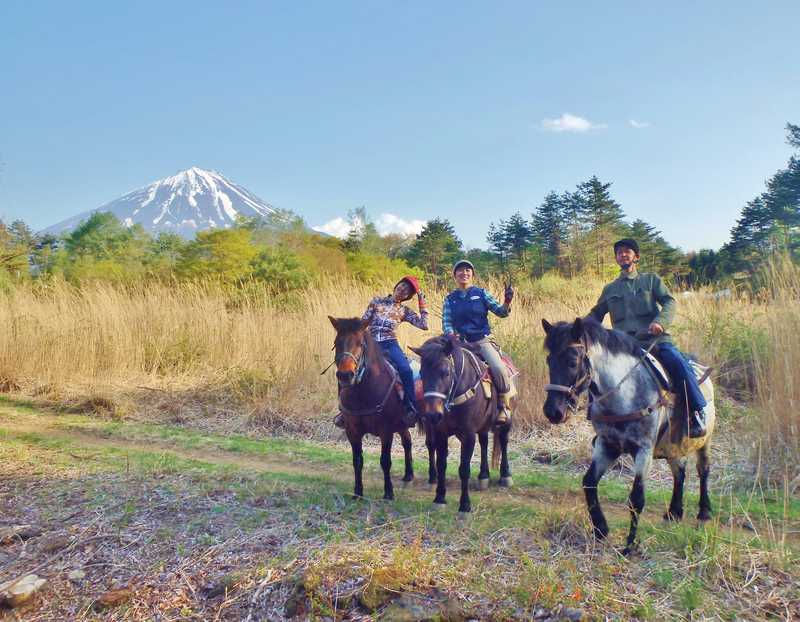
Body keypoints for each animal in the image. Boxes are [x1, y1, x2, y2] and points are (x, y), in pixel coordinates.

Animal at [330, 316, 418, 502]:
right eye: (337, 342)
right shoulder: (352, 431)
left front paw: (389, 492)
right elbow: (357, 460)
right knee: (407, 441)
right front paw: (357, 492)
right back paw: (408, 474)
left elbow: (385, 461)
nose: (345, 375)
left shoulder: (386, 431)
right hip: (401, 424)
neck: (363, 393)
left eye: (360, 344)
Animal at [410, 336, 510, 516]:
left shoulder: (468, 434)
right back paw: (483, 476)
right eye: (422, 373)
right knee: (484, 442)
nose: (433, 414)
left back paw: (505, 475)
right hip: (482, 426)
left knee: (504, 440)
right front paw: (439, 498)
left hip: (506, 418)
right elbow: (441, 464)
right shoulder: (441, 432)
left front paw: (465, 506)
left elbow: (464, 469)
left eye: (446, 372)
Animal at [540, 320, 716, 560]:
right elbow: (589, 482)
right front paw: (601, 529)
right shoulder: (607, 445)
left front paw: (630, 544)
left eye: (572, 362)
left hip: (704, 440)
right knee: (679, 472)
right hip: (673, 446)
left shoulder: (643, 450)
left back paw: (704, 512)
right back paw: (674, 512)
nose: (553, 412)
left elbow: (636, 498)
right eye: (549, 360)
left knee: (703, 470)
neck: (625, 394)